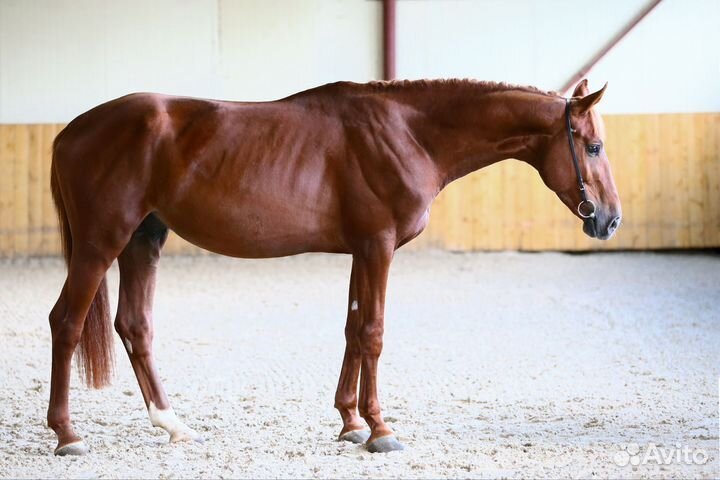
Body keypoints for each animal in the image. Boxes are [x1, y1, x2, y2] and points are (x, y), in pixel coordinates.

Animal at [46, 78, 621, 455]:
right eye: (593, 146)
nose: (610, 219)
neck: (409, 133)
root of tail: (71, 131)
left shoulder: (361, 251)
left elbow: (351, 328)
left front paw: (349, 422)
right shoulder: (378, 246)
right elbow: (372, 332)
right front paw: (381, 430)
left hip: (143, 241)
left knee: (134, 325)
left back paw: (173, 425)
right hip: (100, 243)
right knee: (66, 323)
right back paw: (68, 435)